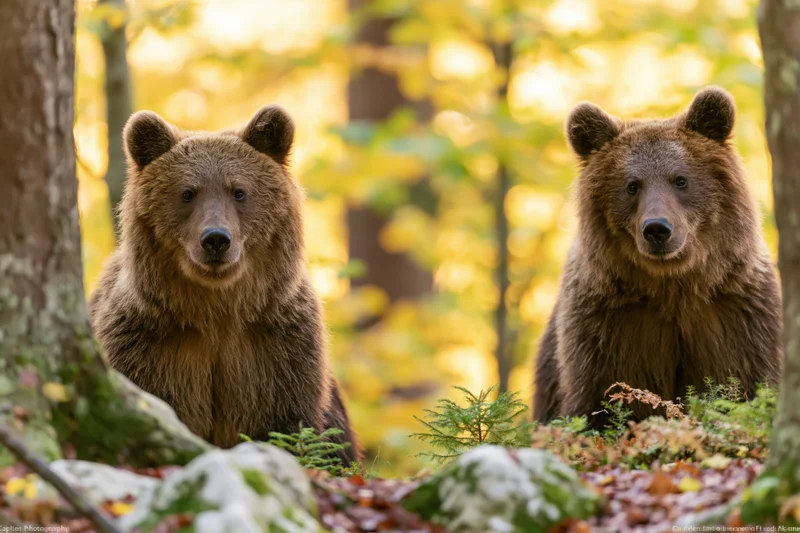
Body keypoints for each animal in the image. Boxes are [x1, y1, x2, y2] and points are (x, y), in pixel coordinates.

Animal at [90, 105, 359, 464]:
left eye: (239, 191)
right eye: (187, 193)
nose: (216, 239)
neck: (217, 309)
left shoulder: (275, 347)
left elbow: (283, 425)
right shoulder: (152, 344)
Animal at [533, 86, 783, 426]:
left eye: (680, 179)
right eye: (631, 185)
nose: (657, 229)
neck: (672, 286)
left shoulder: (735, 313)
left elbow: (746, 379)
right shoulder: (609, 328)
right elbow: (600, 401)